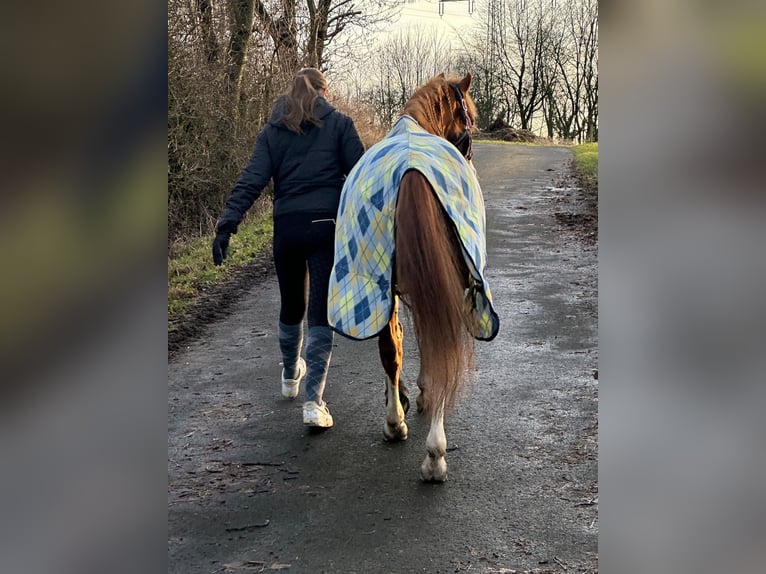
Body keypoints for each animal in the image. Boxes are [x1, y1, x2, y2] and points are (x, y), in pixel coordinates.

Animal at [328, 73, 498, 486]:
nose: (470, 157)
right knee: (441, 348)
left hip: (379, 286)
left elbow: (397, 347)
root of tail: (410, 168)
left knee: (391, 350)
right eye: (468, 122)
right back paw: (434, 454)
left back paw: (396, 424)